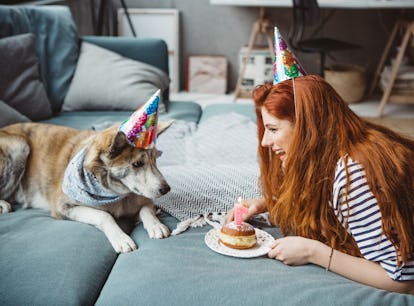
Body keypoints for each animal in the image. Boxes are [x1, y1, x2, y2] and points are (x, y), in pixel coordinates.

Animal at [0, 122, 172, 253]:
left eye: (155, 160)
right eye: (137, 164)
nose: (166, 189)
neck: (113, 193)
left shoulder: (142, 200)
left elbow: (146, 209)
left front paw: (156, 225)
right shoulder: (63, 208)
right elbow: (104, 215)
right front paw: (121, 238)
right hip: (19, 146)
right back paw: (3, 204)